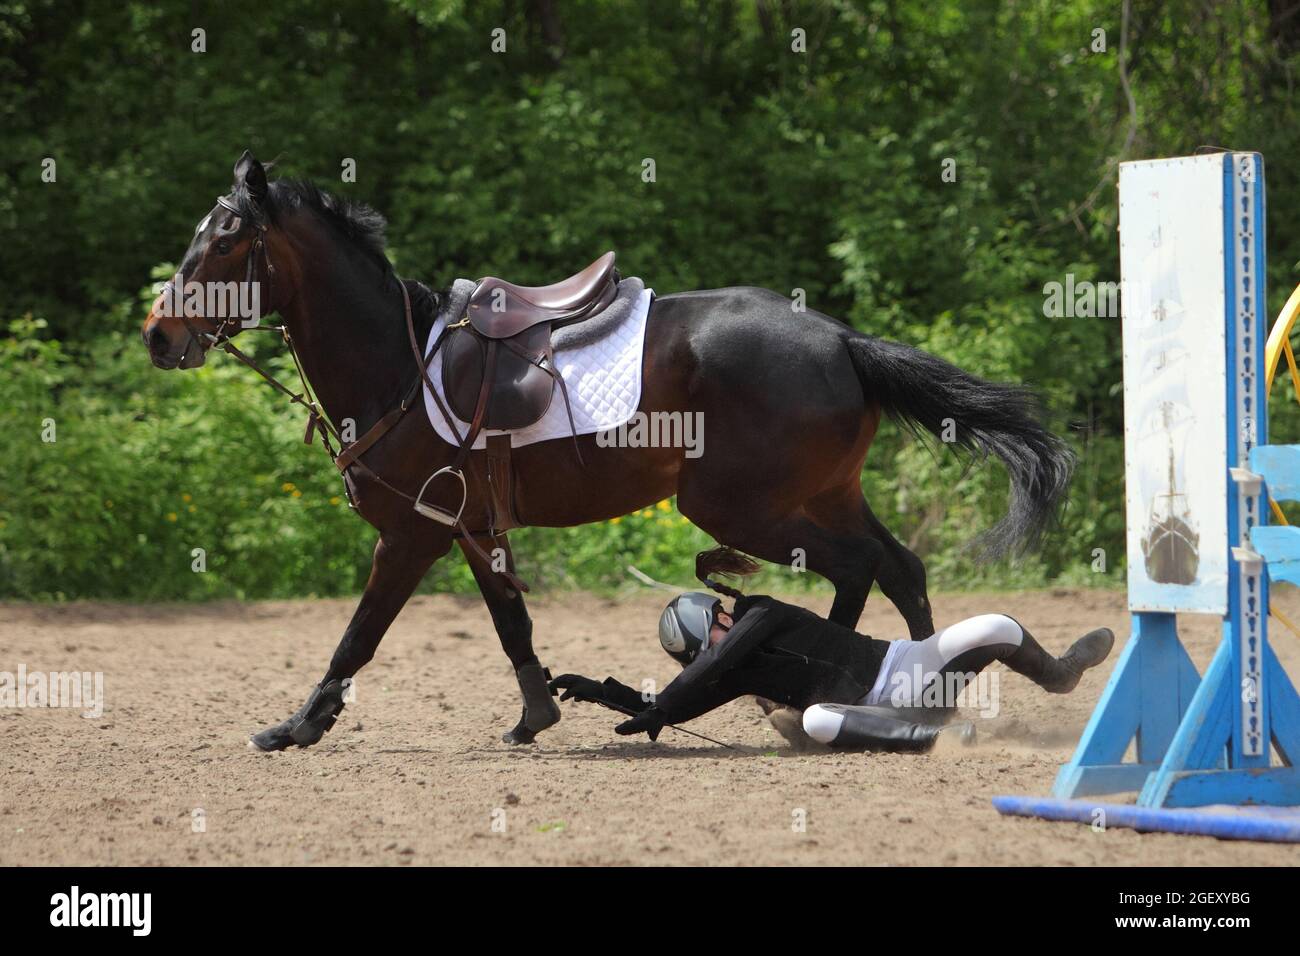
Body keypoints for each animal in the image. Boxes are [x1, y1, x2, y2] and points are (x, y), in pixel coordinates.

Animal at [144, 151, 1076, 749]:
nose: (158, 334)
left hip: (744, 506)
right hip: (822, 494)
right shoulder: (469, 529)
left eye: (223, 242)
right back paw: (914, 691)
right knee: (897, 567)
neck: (399, 365)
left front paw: (299, 725)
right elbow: (511, 623)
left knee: (859, 568)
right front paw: (536, 715)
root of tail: (842, 340)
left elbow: (359, 635)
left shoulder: (412, 535)